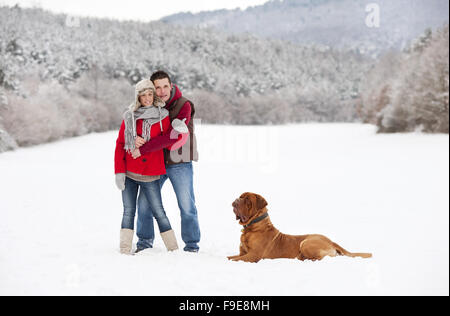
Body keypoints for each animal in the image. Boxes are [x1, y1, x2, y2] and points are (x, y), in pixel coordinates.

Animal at [229, 193, 372, 262]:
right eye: (240, 197)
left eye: (247, 200)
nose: (235, 200)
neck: (251, 228)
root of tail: (331, 241)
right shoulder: (243, 253)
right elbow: (231, 257)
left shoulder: (253, 255)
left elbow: (235, 260)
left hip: (306, 242)